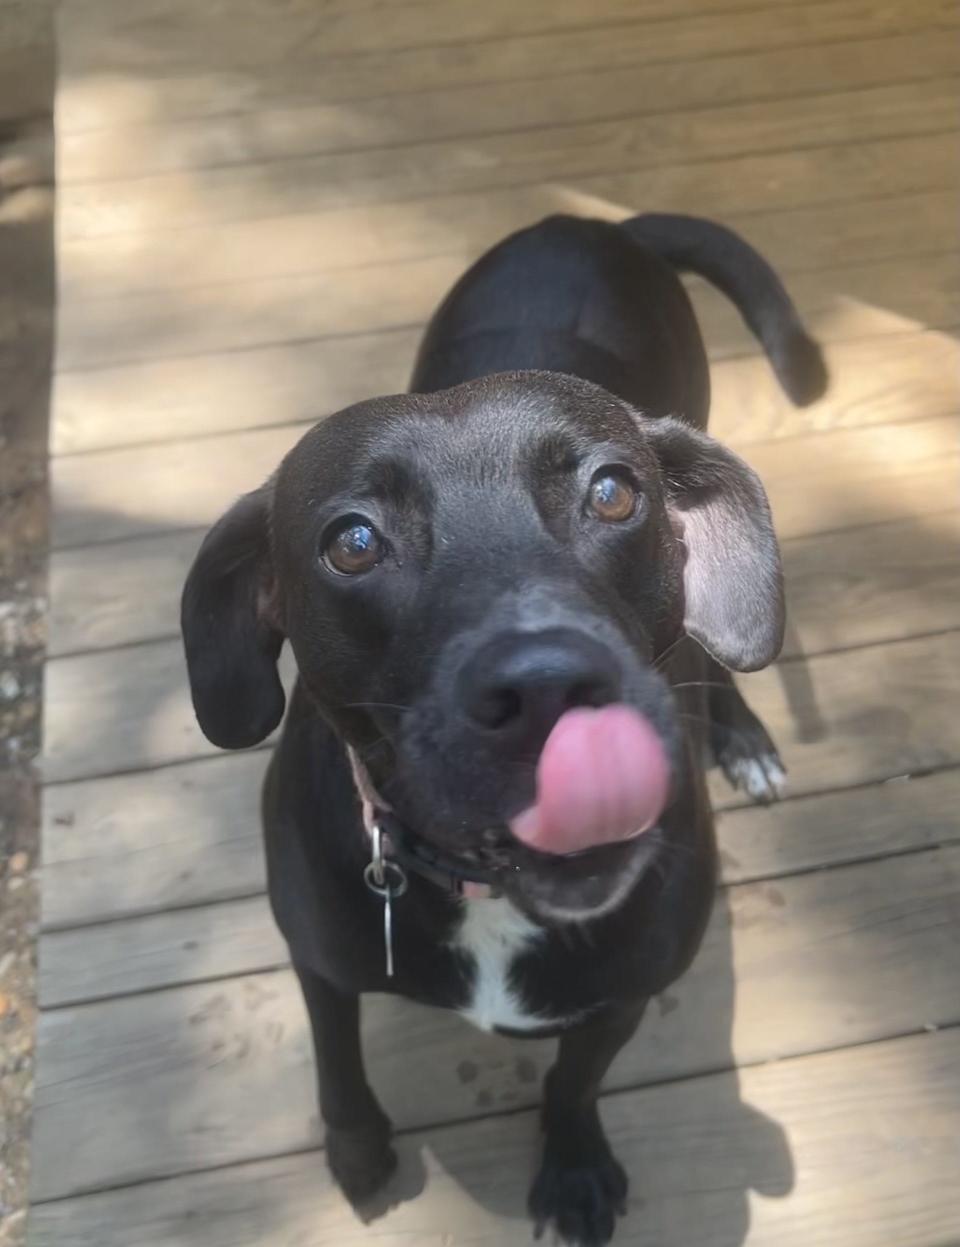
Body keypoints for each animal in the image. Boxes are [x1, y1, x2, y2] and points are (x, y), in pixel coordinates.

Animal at [179, 216, 822, 1247]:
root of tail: (597, 224)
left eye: (613, 493)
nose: (549, 683)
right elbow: (336, 1061)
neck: (486, 890)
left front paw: (574, 1171)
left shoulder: (620, 995)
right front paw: (358, 1151)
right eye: (351, 542)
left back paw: (745, 736)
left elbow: (573, 1080)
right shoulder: (319, 958)